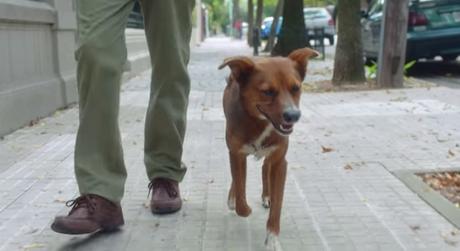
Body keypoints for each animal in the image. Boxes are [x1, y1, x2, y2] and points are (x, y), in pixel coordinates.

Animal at [217, 48, 318, 250]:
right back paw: (234, 197)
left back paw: (266, 196)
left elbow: (277, 206)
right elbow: (240, 192)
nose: (293, 115)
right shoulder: (237, 154)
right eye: (268, 92)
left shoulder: (280, 162)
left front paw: (272, 238)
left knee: (265, 167)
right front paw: (243, 206)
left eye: (295, 88)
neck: (260, 123)